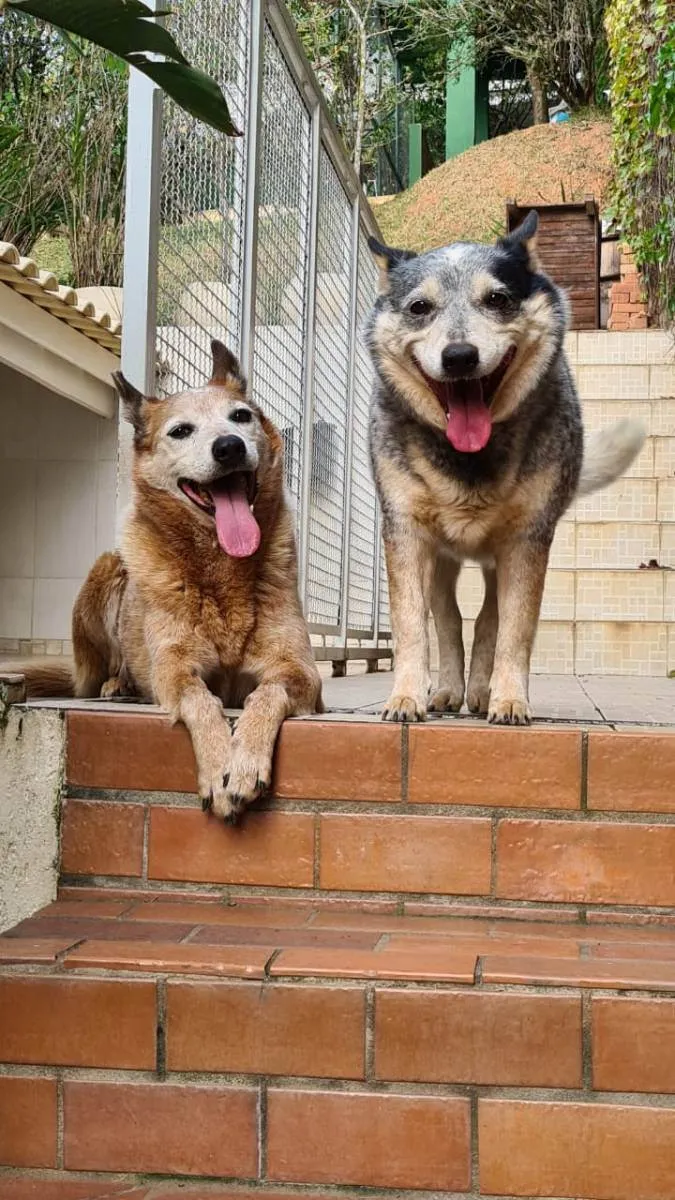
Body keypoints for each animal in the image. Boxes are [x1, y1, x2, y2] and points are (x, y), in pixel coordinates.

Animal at [9, 343, 319, 820]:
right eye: (181, 431)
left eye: (241, 416)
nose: (228, 447)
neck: (221, 569)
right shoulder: (174, 668)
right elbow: (198, 697)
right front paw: (219, 763)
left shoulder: (301, 672)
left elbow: (267, 693)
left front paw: (244, 760)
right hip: (107, 572)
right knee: (113, 665)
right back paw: (118, 685)